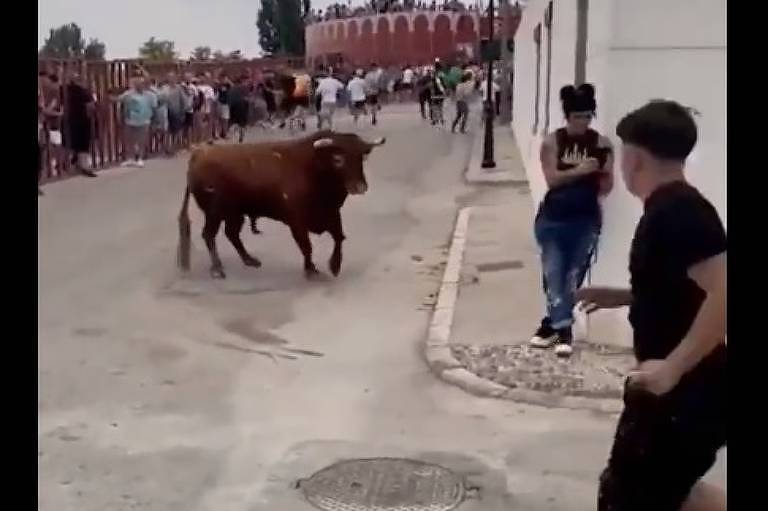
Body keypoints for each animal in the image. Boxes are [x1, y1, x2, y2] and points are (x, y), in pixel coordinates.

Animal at [177, 130, 388, 278]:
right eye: (338, 159)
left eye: (362, 156)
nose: (360, 187)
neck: (313, 168)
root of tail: (199, 154)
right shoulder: (296, 222)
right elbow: (306, 246)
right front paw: (310, 269)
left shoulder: (332, 213)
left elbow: (339, 237)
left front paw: (334, 265)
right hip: (214, 212)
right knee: (209, 234)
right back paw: (217, 268)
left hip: (235, 212)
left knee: (232, 234)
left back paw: (249, 260)